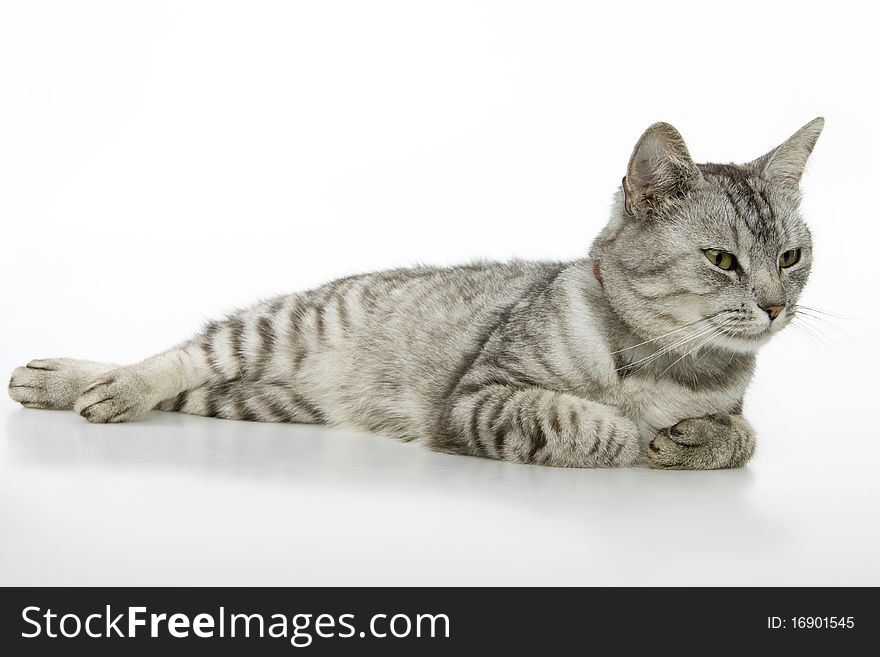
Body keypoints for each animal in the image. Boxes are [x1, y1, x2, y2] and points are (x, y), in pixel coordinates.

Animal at [6, 118, 820, 466]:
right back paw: (87, 383)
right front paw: (626, 429)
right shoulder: (478, 397)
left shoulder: (732, 406)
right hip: (279, 324)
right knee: (174, 357)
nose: (776, 304)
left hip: (263, 397)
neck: (665, 359)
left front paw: (693, 437)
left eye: (790, 255)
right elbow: (582, 421)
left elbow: (742, 436)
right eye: (722, 258)